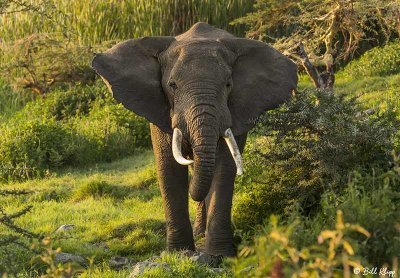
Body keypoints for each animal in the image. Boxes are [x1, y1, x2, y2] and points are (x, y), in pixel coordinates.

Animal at [91, 21, 296, 256]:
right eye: (172, 85)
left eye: (228, 85)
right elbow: (168, 167)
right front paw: (179, 253)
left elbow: (224, 167)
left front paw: (218, 256)